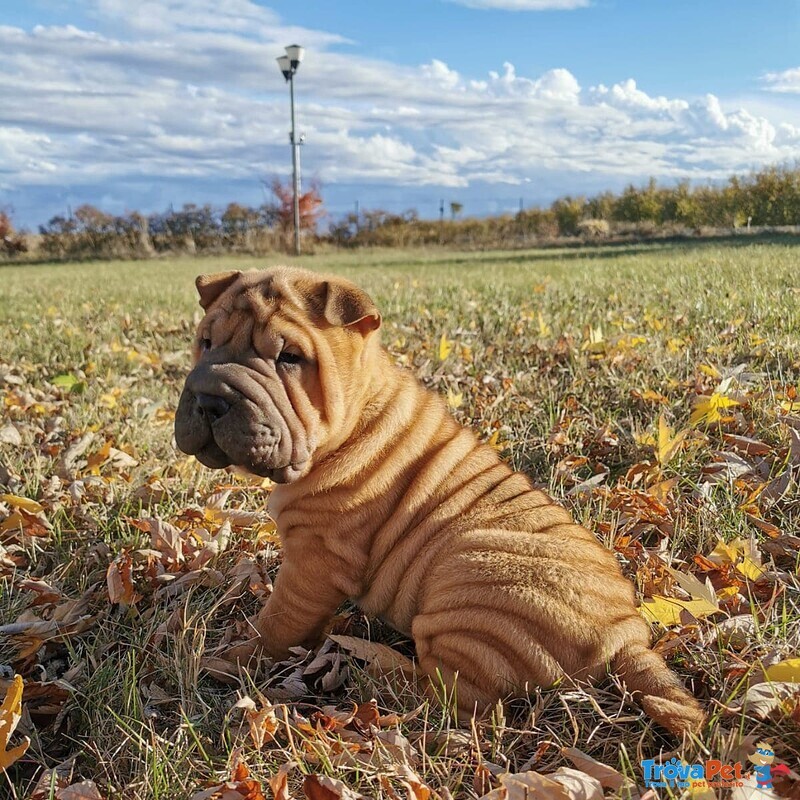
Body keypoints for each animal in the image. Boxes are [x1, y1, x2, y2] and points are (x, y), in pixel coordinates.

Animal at [177, 266, 708, 736]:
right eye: (206, 342)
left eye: (289, 357)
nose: (209, 399)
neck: (351, 422)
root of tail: (625, 633)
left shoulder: (315, 558)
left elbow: (278, 621)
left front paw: (231, 659)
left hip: (469, 579)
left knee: (455, 697)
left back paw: (368, 672)